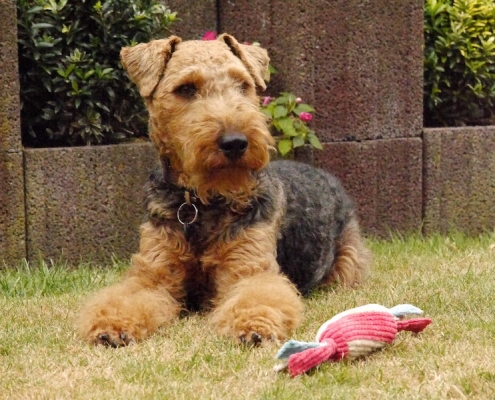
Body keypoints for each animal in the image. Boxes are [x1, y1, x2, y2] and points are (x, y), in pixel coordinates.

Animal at [77, 33, 372, 346]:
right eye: (186, 89)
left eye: (243, 84)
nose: (235, 142)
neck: (199, 202)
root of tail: (325, 175)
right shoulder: (153, 275)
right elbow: (128, 298)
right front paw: (111, 324)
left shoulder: (249, 268)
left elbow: (257, 297)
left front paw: (253, 326)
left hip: (347, 260)